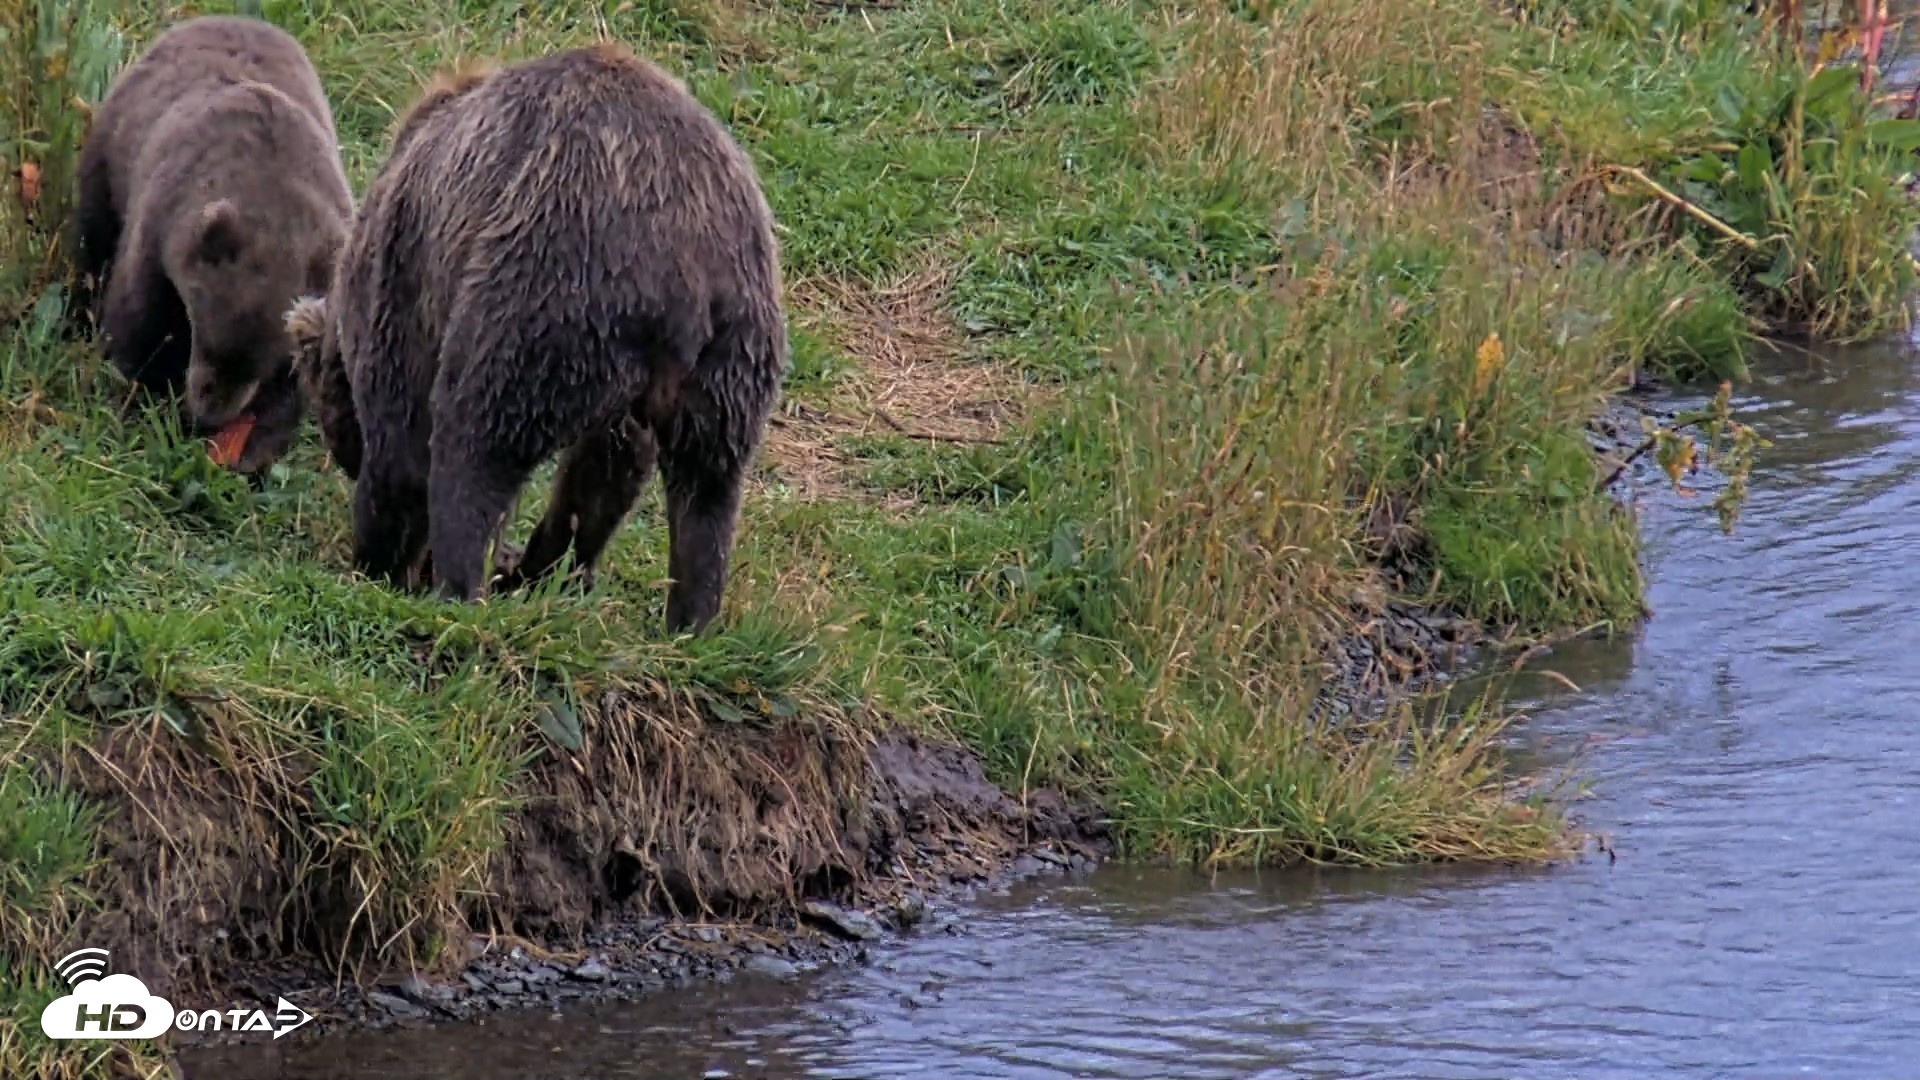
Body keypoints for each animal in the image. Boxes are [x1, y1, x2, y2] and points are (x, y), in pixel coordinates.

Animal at [69, 14, 354, 474]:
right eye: (209, 337)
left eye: (267, 361)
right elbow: (137, 323)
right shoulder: (159, 231)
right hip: (108, 154)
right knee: (93, 238)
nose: (209, 414)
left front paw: (251, 450)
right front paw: (138, 403)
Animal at [288, 43, 788, 635]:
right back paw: (685, 619)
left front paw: (382, 564)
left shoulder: (404, 281)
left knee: (475, 443)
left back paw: (460, 589)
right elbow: (605, 472)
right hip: (731, 350)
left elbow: (402, 449)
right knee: (705, 489)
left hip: (542, 293)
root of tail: (682, 272)